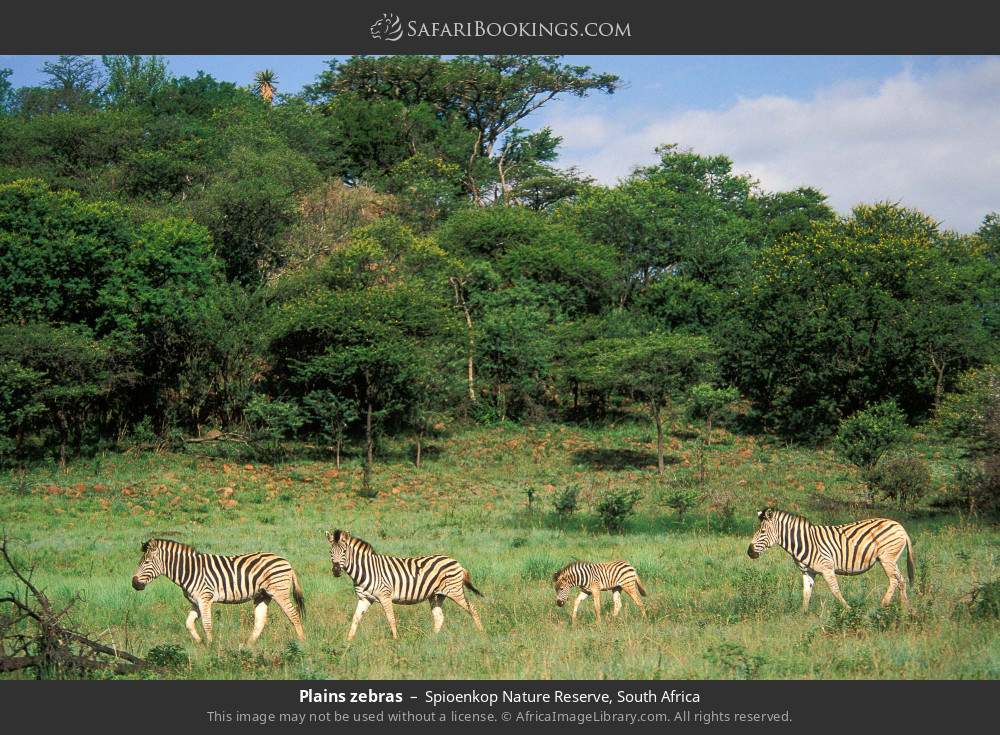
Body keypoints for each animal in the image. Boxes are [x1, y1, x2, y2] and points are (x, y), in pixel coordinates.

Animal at [131, 538, 305, 644]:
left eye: (146, 562)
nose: (134, 583)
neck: (189, 570)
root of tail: (286, 561)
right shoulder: (196, 602)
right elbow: (189, 623)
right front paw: (200, 642)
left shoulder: (205, 598)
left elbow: (207, 624)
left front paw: (210, 646)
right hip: (262, 595)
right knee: (260, 621)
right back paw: (248, 646)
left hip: (279, 591)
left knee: (293, 615)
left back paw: (302, 642)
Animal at [325, 529, 483, 640]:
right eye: (330, 551)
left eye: (344, 551)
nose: (336, 570)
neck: (366, 569)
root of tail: (456, 562)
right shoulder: (364, 599)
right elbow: (355, 619)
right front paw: (348, 642)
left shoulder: (385, 595)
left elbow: (391, 619)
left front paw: (396, 640)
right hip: (436, 595)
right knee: (439, 617)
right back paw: (433, 639)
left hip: (455, 591)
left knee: (472, 608)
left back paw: (481, 633)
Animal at [747, 508, 915, 610]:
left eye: (762, 532)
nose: (749, 552)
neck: (803, 541)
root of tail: (900, 526)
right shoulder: (807, 572)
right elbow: (806, 593)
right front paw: (803, 614)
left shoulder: (827, 568)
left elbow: (835, 590)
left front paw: (848, 609)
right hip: (891, 560)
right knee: (901, 579)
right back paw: (906, 608)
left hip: (887, 558)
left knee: (893, 580)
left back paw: (883, 604)